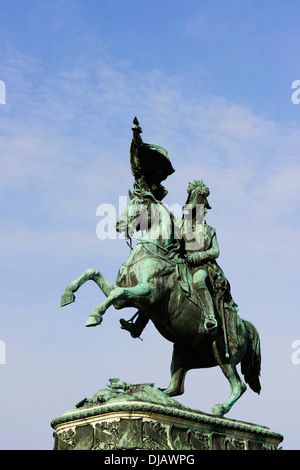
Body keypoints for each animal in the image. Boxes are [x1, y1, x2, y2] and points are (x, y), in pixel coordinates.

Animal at [60, 187, 260, 414]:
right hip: (181, 353)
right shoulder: (130, 300)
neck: (154, 252)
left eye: (137, 205)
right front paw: (68, 293)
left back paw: (219, 408)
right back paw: (148, 392)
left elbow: (117, 292)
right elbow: (94, 274)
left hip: (222, 353)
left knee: (238, 385)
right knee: (176, 388)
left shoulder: (148, 293)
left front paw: (94, 316)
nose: (118, 225)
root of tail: (244, 325)